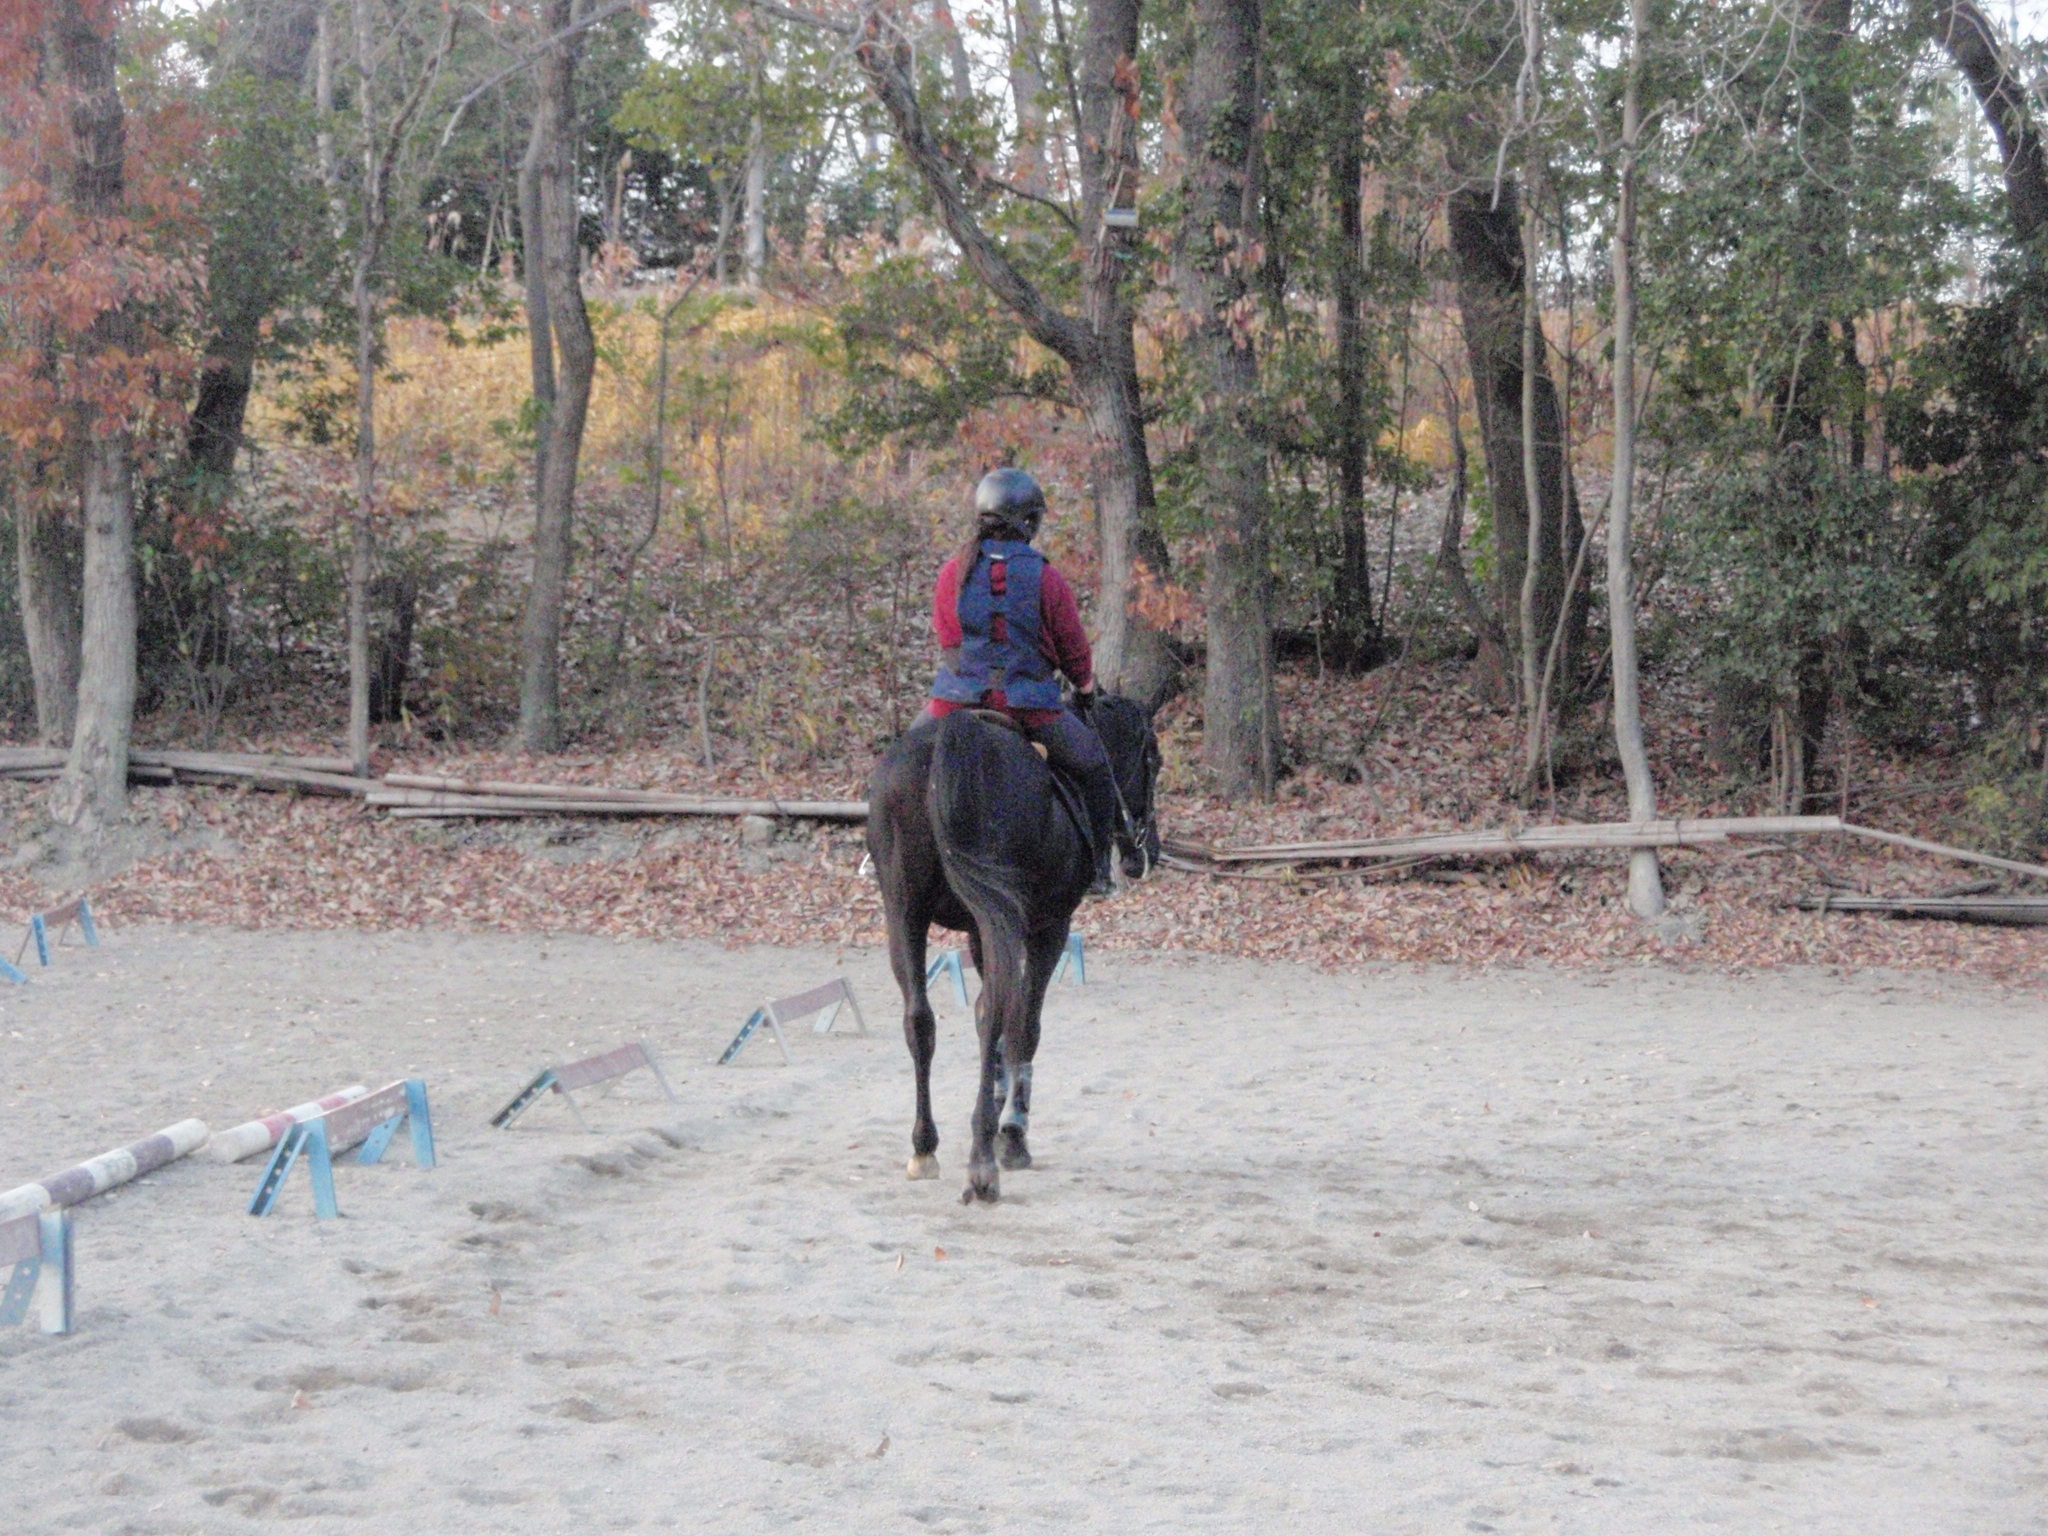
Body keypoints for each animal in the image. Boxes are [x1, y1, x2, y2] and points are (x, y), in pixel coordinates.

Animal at [865, 696, 1161, 1204]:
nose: (1149, 853)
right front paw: (1013, 1133)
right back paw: (984, 1162)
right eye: (1154, 763)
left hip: (906, 913)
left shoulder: (976, 931)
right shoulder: (1048, 928)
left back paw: (925, 1147)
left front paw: (998, 1098)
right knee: (995, 1013)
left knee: (921, 1019)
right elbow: (1025, 1025)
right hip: (1004, 915)